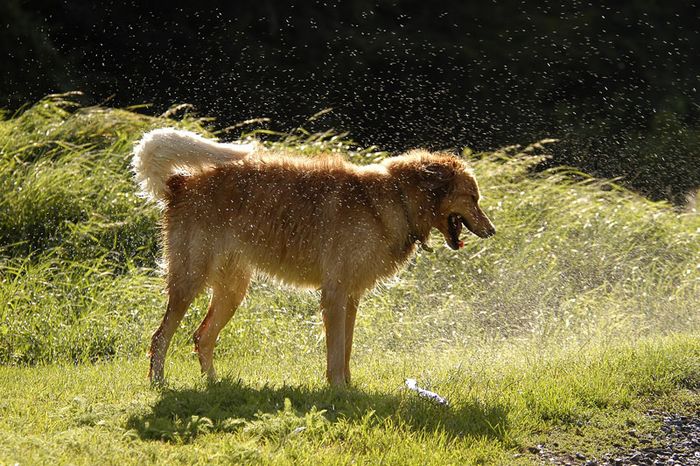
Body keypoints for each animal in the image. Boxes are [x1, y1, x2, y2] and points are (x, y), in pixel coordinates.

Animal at [130, 128, 492, 386]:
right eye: (473, 198)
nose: (492, 230)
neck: (396, 198)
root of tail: (179, 183)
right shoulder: (334, 294)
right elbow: (335, 352)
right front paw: (338, 391)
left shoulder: (350, 297)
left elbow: (345, 351)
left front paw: (347, 389)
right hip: (190, 281)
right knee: (160, 338)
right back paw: (159, 384)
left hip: (232, 290)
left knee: (202, 337)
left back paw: (216, 385)